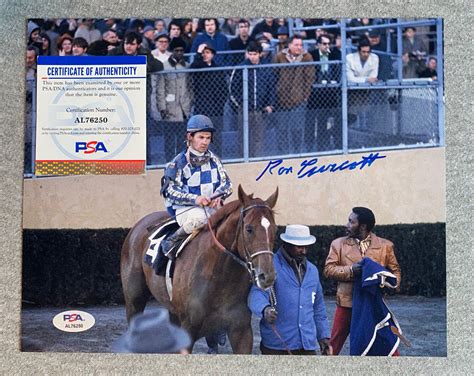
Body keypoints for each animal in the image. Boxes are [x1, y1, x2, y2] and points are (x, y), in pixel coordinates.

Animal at [120, 185, 280, 352]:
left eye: (275, 230)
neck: (220, 277)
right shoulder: (188, 329)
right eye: (249, 229)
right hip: (134, 300)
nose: (267, 276)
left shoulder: (241, 330)